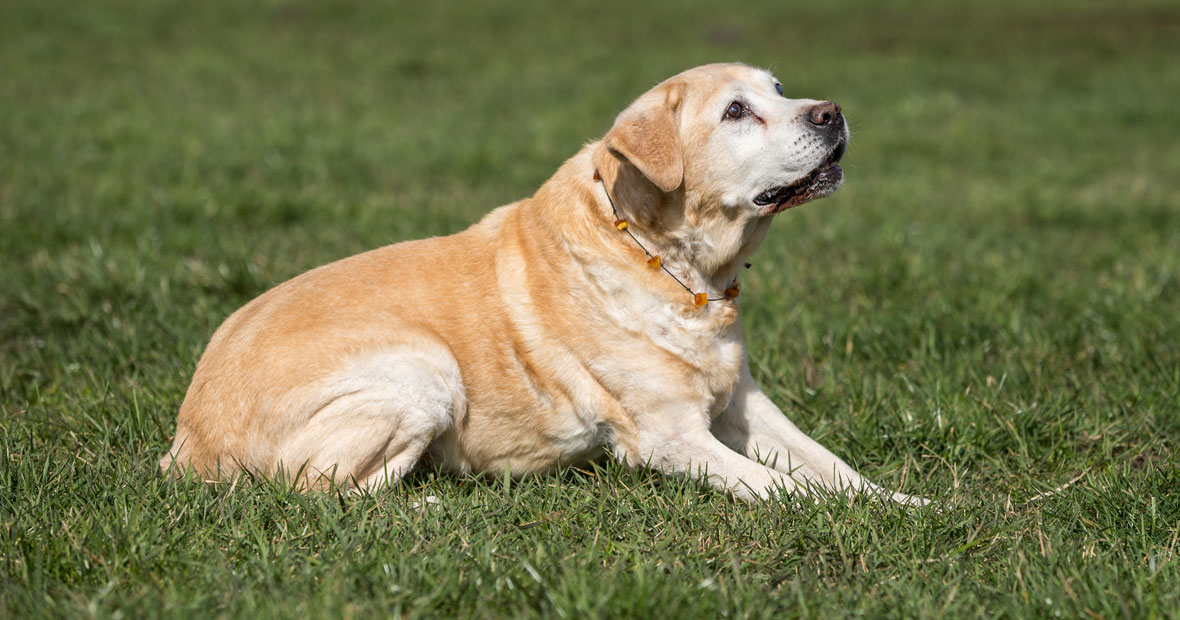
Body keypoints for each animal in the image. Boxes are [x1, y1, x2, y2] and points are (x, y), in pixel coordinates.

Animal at [161, 62, 925, 505]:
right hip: (422, 370)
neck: (681, 273)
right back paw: (430, 502)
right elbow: (792, 490)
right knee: (319, 494)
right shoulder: (669, 436)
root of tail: (184, 446)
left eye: (780, 91)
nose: (831, 111)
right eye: (736, 112)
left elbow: (834, 468)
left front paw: (910, 506)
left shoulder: (744, 403)